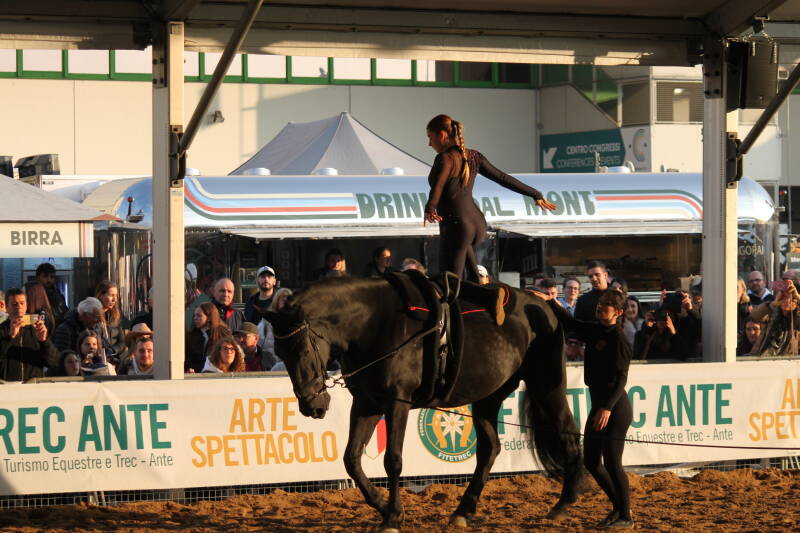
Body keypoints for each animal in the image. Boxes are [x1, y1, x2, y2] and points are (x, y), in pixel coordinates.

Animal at [266, 276, 584, 532]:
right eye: (280, 351)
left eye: (302, 349)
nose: (312, 405)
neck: (374, 323)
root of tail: (544, 304)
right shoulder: (368, 402)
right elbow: (351, 459)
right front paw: (382, 505)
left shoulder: (398, 402)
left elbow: (392, 460)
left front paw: (392, 517)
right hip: (489, 395)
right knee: (489, 449)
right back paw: (463, 510)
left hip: (548, 386)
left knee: (567, 434)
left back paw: (565, 502)